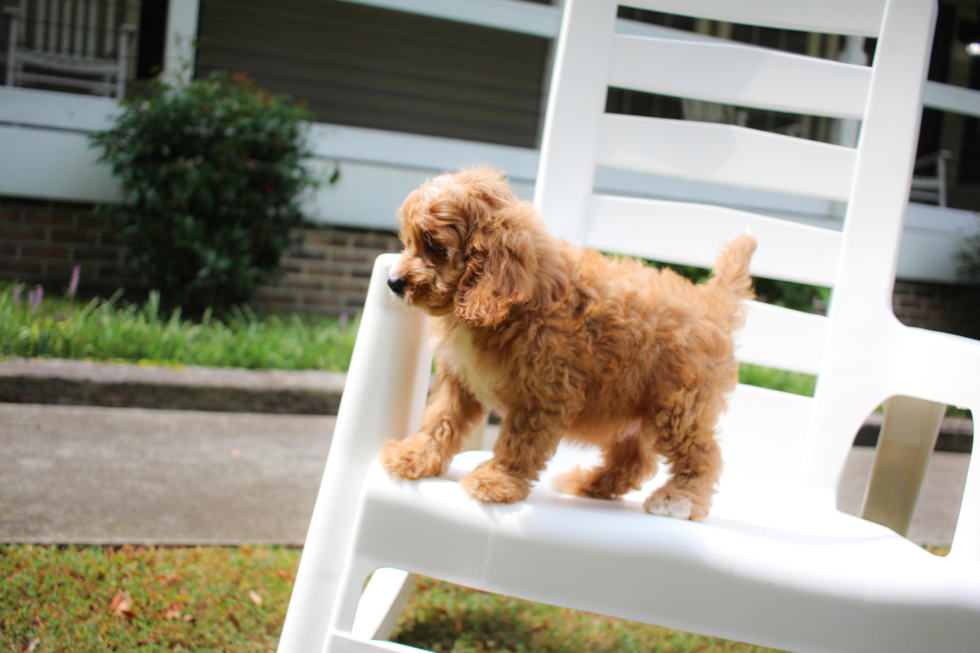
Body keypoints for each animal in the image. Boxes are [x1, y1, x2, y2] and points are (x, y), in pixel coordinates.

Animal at [378, 167, 756, 520]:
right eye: (409, 242)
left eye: (436, 247)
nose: (393, 283)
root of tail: (712, 304)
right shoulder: (458, 380)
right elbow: (440, 419)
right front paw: (414, 456)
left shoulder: (544, 395)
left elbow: (520, 442)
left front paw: (497, 481)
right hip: (634, 403)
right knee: (633, 460)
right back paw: (590, 484)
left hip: (678, 406)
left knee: (702, 454)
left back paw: (678, 499)